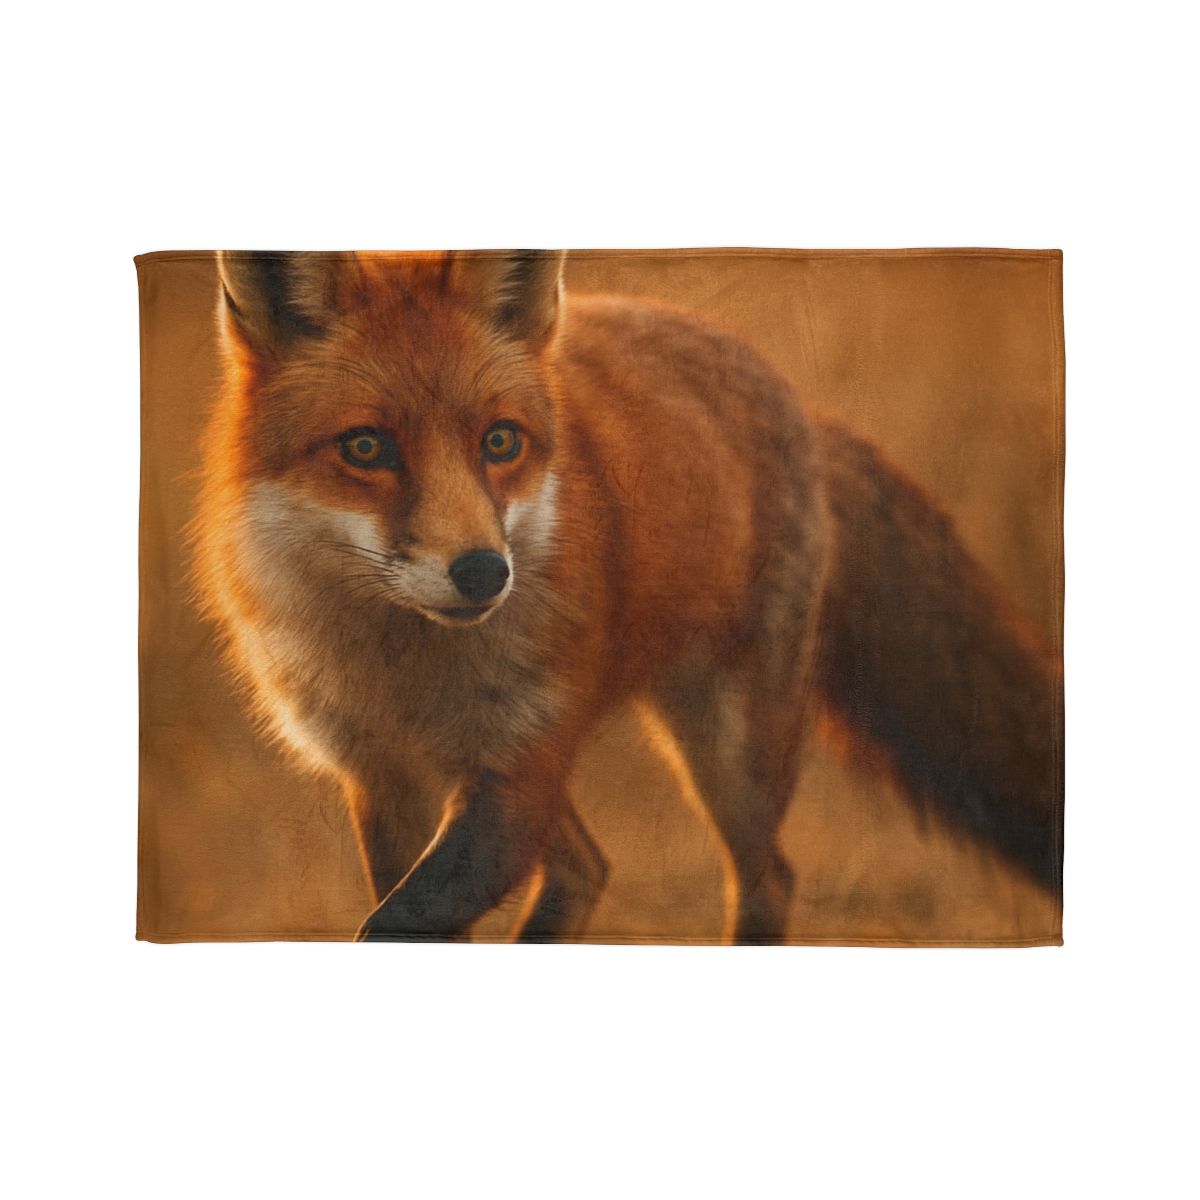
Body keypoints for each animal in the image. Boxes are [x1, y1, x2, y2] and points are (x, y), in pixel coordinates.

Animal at [194, 249, 1062, 943]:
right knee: (588, 868)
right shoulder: (383, 780)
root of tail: (804, 407)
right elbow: (404, 917)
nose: (483, 572)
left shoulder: (518, 769)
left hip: (729, 751)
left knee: (766, 877)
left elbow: (394, 920)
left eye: (500, 441)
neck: (406, 674)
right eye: (366, 448)